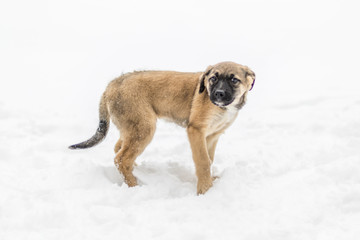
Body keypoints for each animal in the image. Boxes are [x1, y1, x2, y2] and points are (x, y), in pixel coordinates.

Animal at [69, 61, 256, 194]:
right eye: (213, 79)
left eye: (234, 80)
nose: (218, 94)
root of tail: (112, 84)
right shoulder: (196, 130)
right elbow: (203, 161)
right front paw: (205, 190)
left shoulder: (212, 135)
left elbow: (209, 159)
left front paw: (210, 181)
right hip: (144, 128)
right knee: (121, 159)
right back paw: (135, 187)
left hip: (132, 128)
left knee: (119, 150)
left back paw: (137, 170)